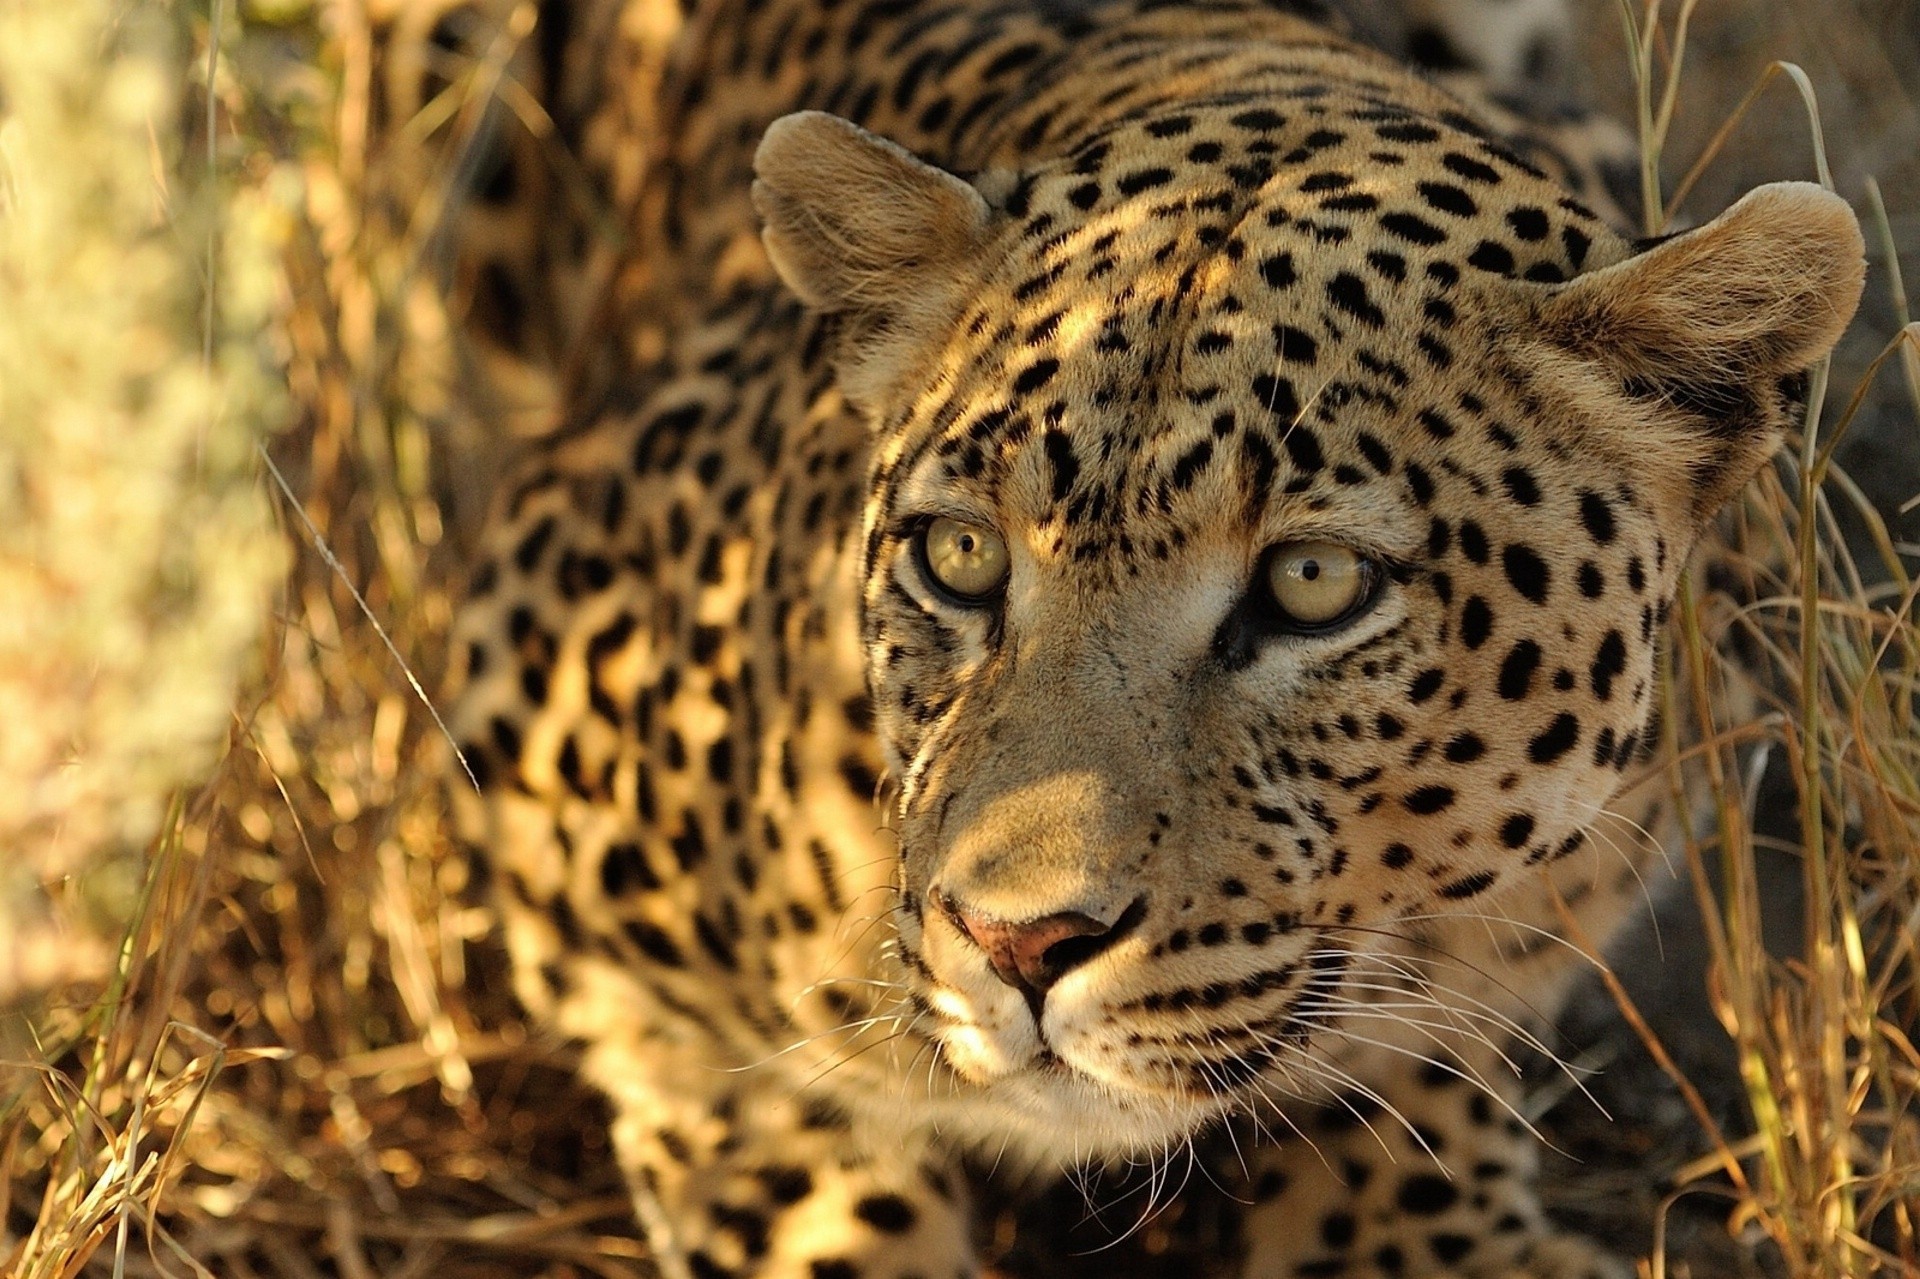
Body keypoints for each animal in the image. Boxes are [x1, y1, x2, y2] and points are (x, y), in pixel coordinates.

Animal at [445, 0, 1858, 1267]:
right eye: (961, 556)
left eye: (1312, 583)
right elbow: (775, 1131)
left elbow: (1432, 1049)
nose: (1019, 944)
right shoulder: (537, 684)